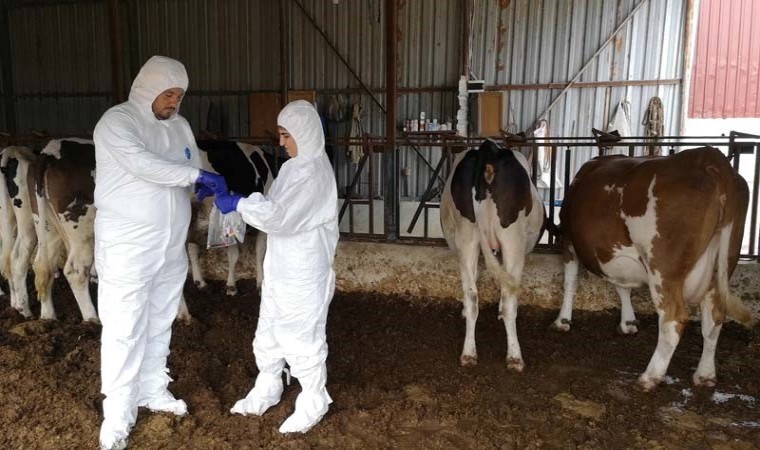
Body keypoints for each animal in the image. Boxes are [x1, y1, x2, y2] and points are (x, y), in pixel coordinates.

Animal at [440, 139, 548, 370]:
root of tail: (489, 148)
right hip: (512, 239)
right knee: (509, 297)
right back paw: (515, 356)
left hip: (467, 235)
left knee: (472, 295)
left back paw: (469, 353)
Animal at [552, 148, 756, 390]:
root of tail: (707, 155)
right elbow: (622, 286)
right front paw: (628, 323)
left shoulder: (568, 241)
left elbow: (570, 282)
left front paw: (563, 321)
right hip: (723, 263)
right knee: (714, 317)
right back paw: (705, 374)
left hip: (663, 269)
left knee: (674, 319)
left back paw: (649, 377)